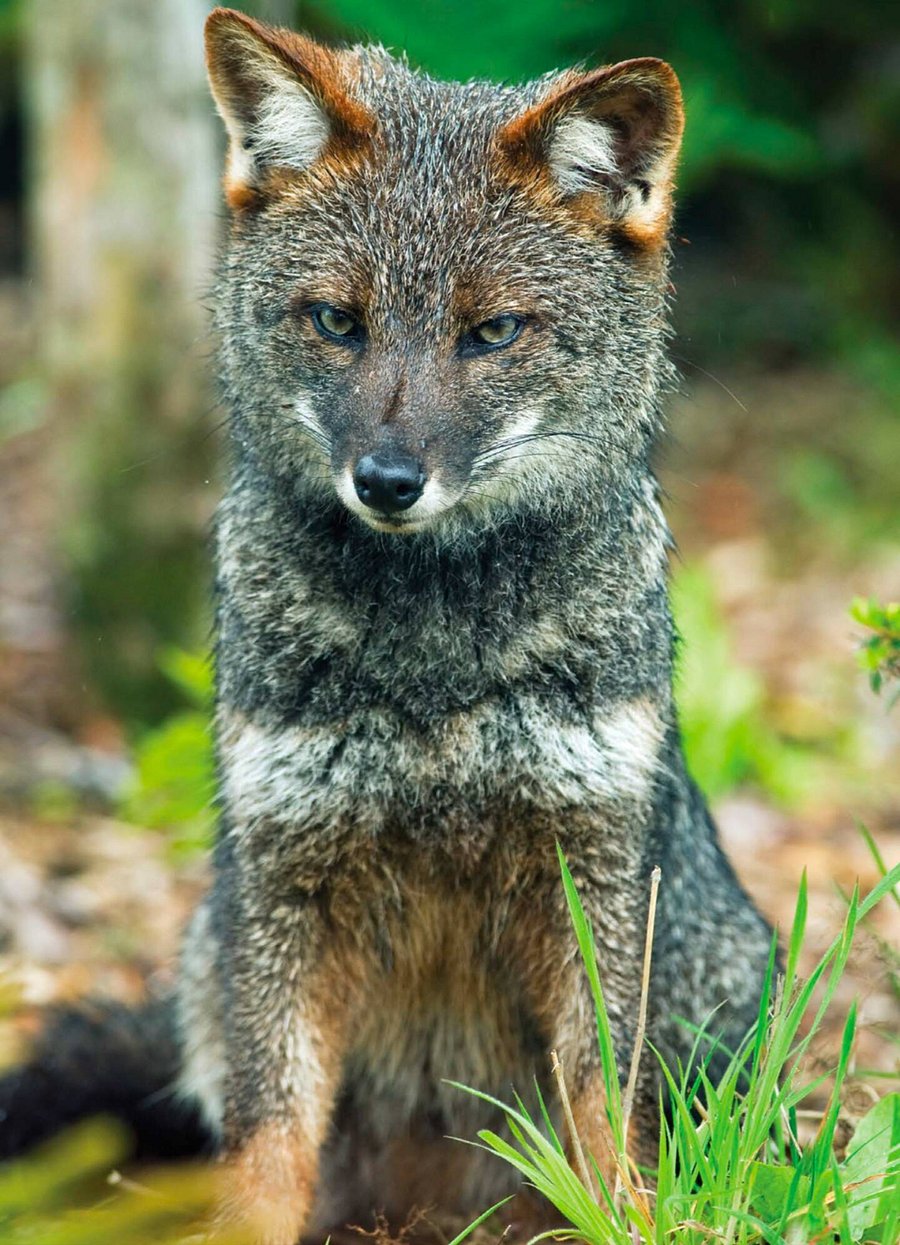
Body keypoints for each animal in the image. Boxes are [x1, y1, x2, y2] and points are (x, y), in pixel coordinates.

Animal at [0, 8, 776, 1243]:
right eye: (336, 323)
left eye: (492, 332)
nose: (389, 481)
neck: (434, 668)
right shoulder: (285, 876)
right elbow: (269, 1139)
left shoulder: (594, 869)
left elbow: (606, 1114)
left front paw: (625, 1220)